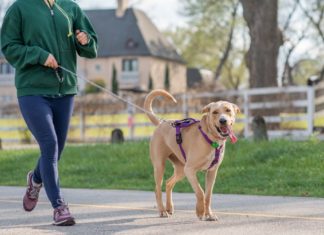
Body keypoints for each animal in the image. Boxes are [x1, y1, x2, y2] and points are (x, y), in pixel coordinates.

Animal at [143, 89, 239, 221]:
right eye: (215, 112)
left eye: (228, 110)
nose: (223, 120)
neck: (210, 138)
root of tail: (161, 123)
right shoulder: (190, 170)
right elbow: (200, 192)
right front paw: (200, 211)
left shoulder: (212, 172)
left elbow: (208, 195)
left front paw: (209, 214)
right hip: (160, 166)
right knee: (157, 189)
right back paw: (162, 211)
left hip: (181, 170)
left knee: (168, 183)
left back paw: (169, 207)